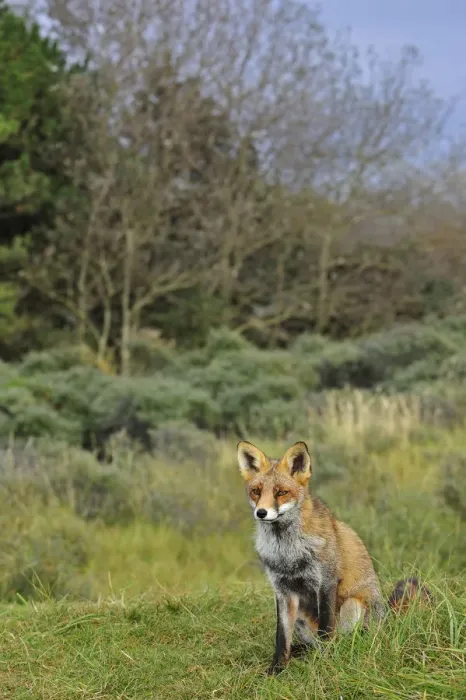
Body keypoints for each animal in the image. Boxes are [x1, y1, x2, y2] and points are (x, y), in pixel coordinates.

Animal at [237, 440, 432, 674]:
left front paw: (326, 663)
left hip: (353, 605)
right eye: (256, 491)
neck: (288, 552)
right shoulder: (282, 591)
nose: (261, 513)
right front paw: (277, 669)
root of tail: (387, 620)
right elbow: (282, 638)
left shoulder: (326, 581)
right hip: (301, 618)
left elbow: (325, 630)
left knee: (349, 639)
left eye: (281, 492)